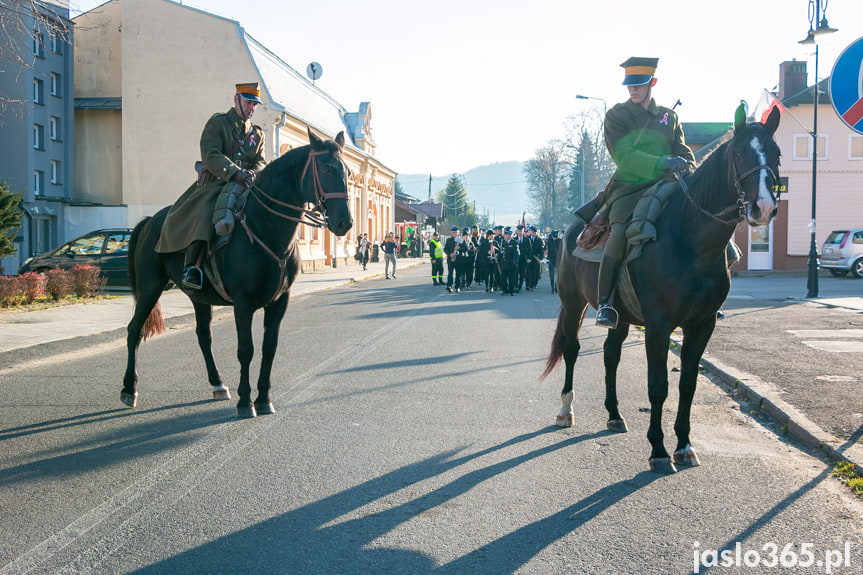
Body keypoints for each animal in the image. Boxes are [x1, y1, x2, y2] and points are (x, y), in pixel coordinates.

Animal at [121, 130, 352, 418]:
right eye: (327, 168)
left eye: (348, 172)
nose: (344, 223)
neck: (265, 228)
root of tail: (149, 220)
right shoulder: (243, 304)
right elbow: (246, 350)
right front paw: (245, 402)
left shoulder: (280, 302)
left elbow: (269, 347)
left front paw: (264, 398)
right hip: (150, 287)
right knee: (134, 330)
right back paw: (129, 389)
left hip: (199, 298)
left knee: (203, 337)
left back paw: (218, 384)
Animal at [540, 106, 784, 474]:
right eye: (740, 154)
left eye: (777, 154)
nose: (764, 207)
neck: (691, 241)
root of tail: (571, 228)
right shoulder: (658, 325)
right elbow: (658, 386)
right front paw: (657, 450)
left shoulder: (702, 325)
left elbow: (687, 384)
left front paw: (684, 446)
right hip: (573, 304)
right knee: (571, 349)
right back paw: (566, 410)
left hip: (620, 315)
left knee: (610, 355)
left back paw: (614, 415)